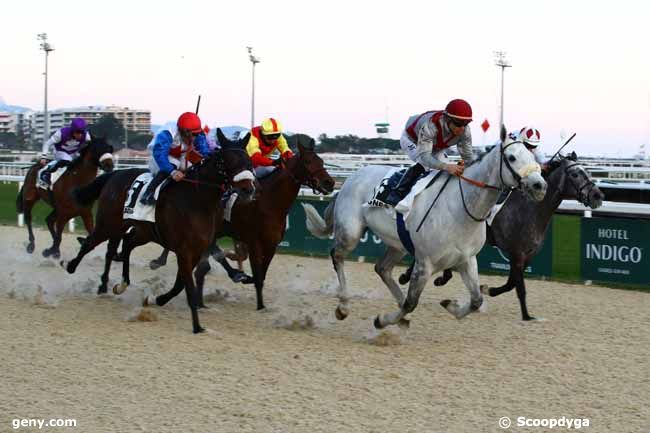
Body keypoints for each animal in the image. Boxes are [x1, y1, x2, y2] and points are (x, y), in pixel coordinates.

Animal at [60, 130, 253, 332]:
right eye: (229, 160)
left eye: (248, 160)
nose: (248, 189)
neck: (197, 200)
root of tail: (115, 174)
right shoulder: (184, 251)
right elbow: (188, 286)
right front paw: (197, 326)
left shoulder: (196, 249)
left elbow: (180, 284)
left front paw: (157, 299)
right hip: (109, 224)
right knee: (90, 243)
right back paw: (70, 266)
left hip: (144, 231)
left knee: (127, 243)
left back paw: (121, 284)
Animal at [142, 133, 334, 308]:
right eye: (308, 162)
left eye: (321, 161)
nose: (329, 183)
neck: (269, 201)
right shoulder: (254, 242)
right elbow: (257, 275)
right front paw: (259, 303)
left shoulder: (271, 244)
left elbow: (261, 274)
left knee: (202, 267)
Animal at [302, 126, 544, 330]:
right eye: (512, 157)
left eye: (533, 157)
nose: (539, 186)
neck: (461, 207)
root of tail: (351, 179)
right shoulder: (425, 263)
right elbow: (412, 301)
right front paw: (382, 320)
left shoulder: (466, 259)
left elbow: (476, 300)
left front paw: (450, 305)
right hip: (351, 232)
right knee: (337, 256)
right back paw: (343, 306)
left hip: (397, 244)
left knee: (382, 268)